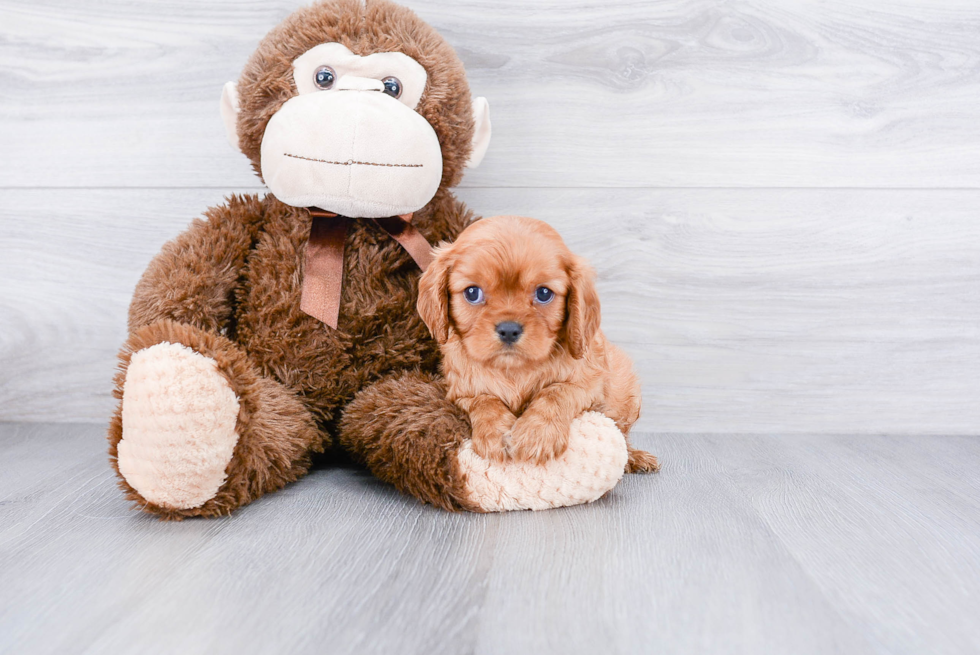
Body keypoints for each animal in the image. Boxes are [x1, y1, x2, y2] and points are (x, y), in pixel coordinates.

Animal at [418, 215, 664, 472]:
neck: (514, 370)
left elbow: (555, 392)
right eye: (472, 293)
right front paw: (497, 434)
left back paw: (635, 457)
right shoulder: (462, 391)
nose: (509, 329)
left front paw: (537, 434)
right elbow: (485, 401)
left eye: (544, 293)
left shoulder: (588, 384)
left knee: (622, 434)